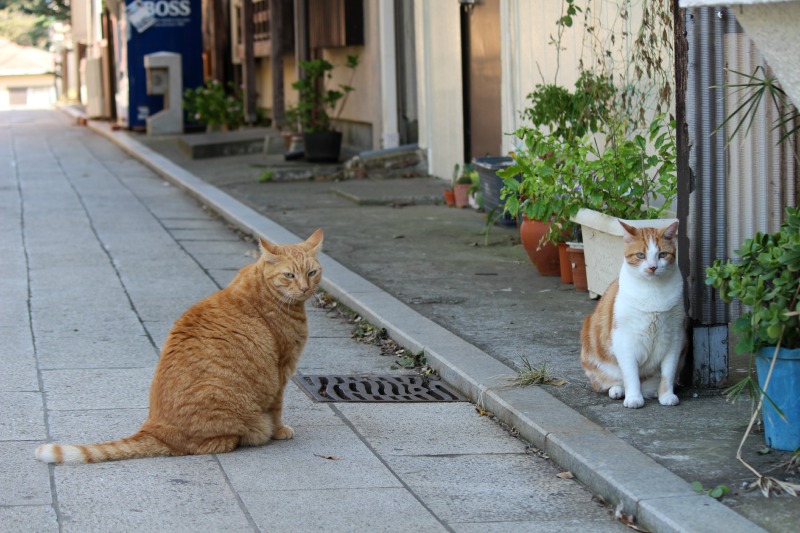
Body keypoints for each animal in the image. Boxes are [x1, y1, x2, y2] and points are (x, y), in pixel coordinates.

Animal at [36, 229, 324, 462]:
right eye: (289, 275)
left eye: (312, 273)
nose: (305, 288)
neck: (265, 288)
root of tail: (154, 427)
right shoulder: (281, 369)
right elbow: (277, 408)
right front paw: (280, 430)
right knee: (210, 443)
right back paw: (250, 436)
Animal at [580, 219, 684, 408]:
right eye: (640, 255)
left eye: (662, 255)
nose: (652, 267)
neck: (653, 292)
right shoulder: (625, 340)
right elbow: (630, 375)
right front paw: (634, 398)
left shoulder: (674, 338)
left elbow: (668, 373)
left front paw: (666, 395)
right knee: (613, 381)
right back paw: (618, 391)